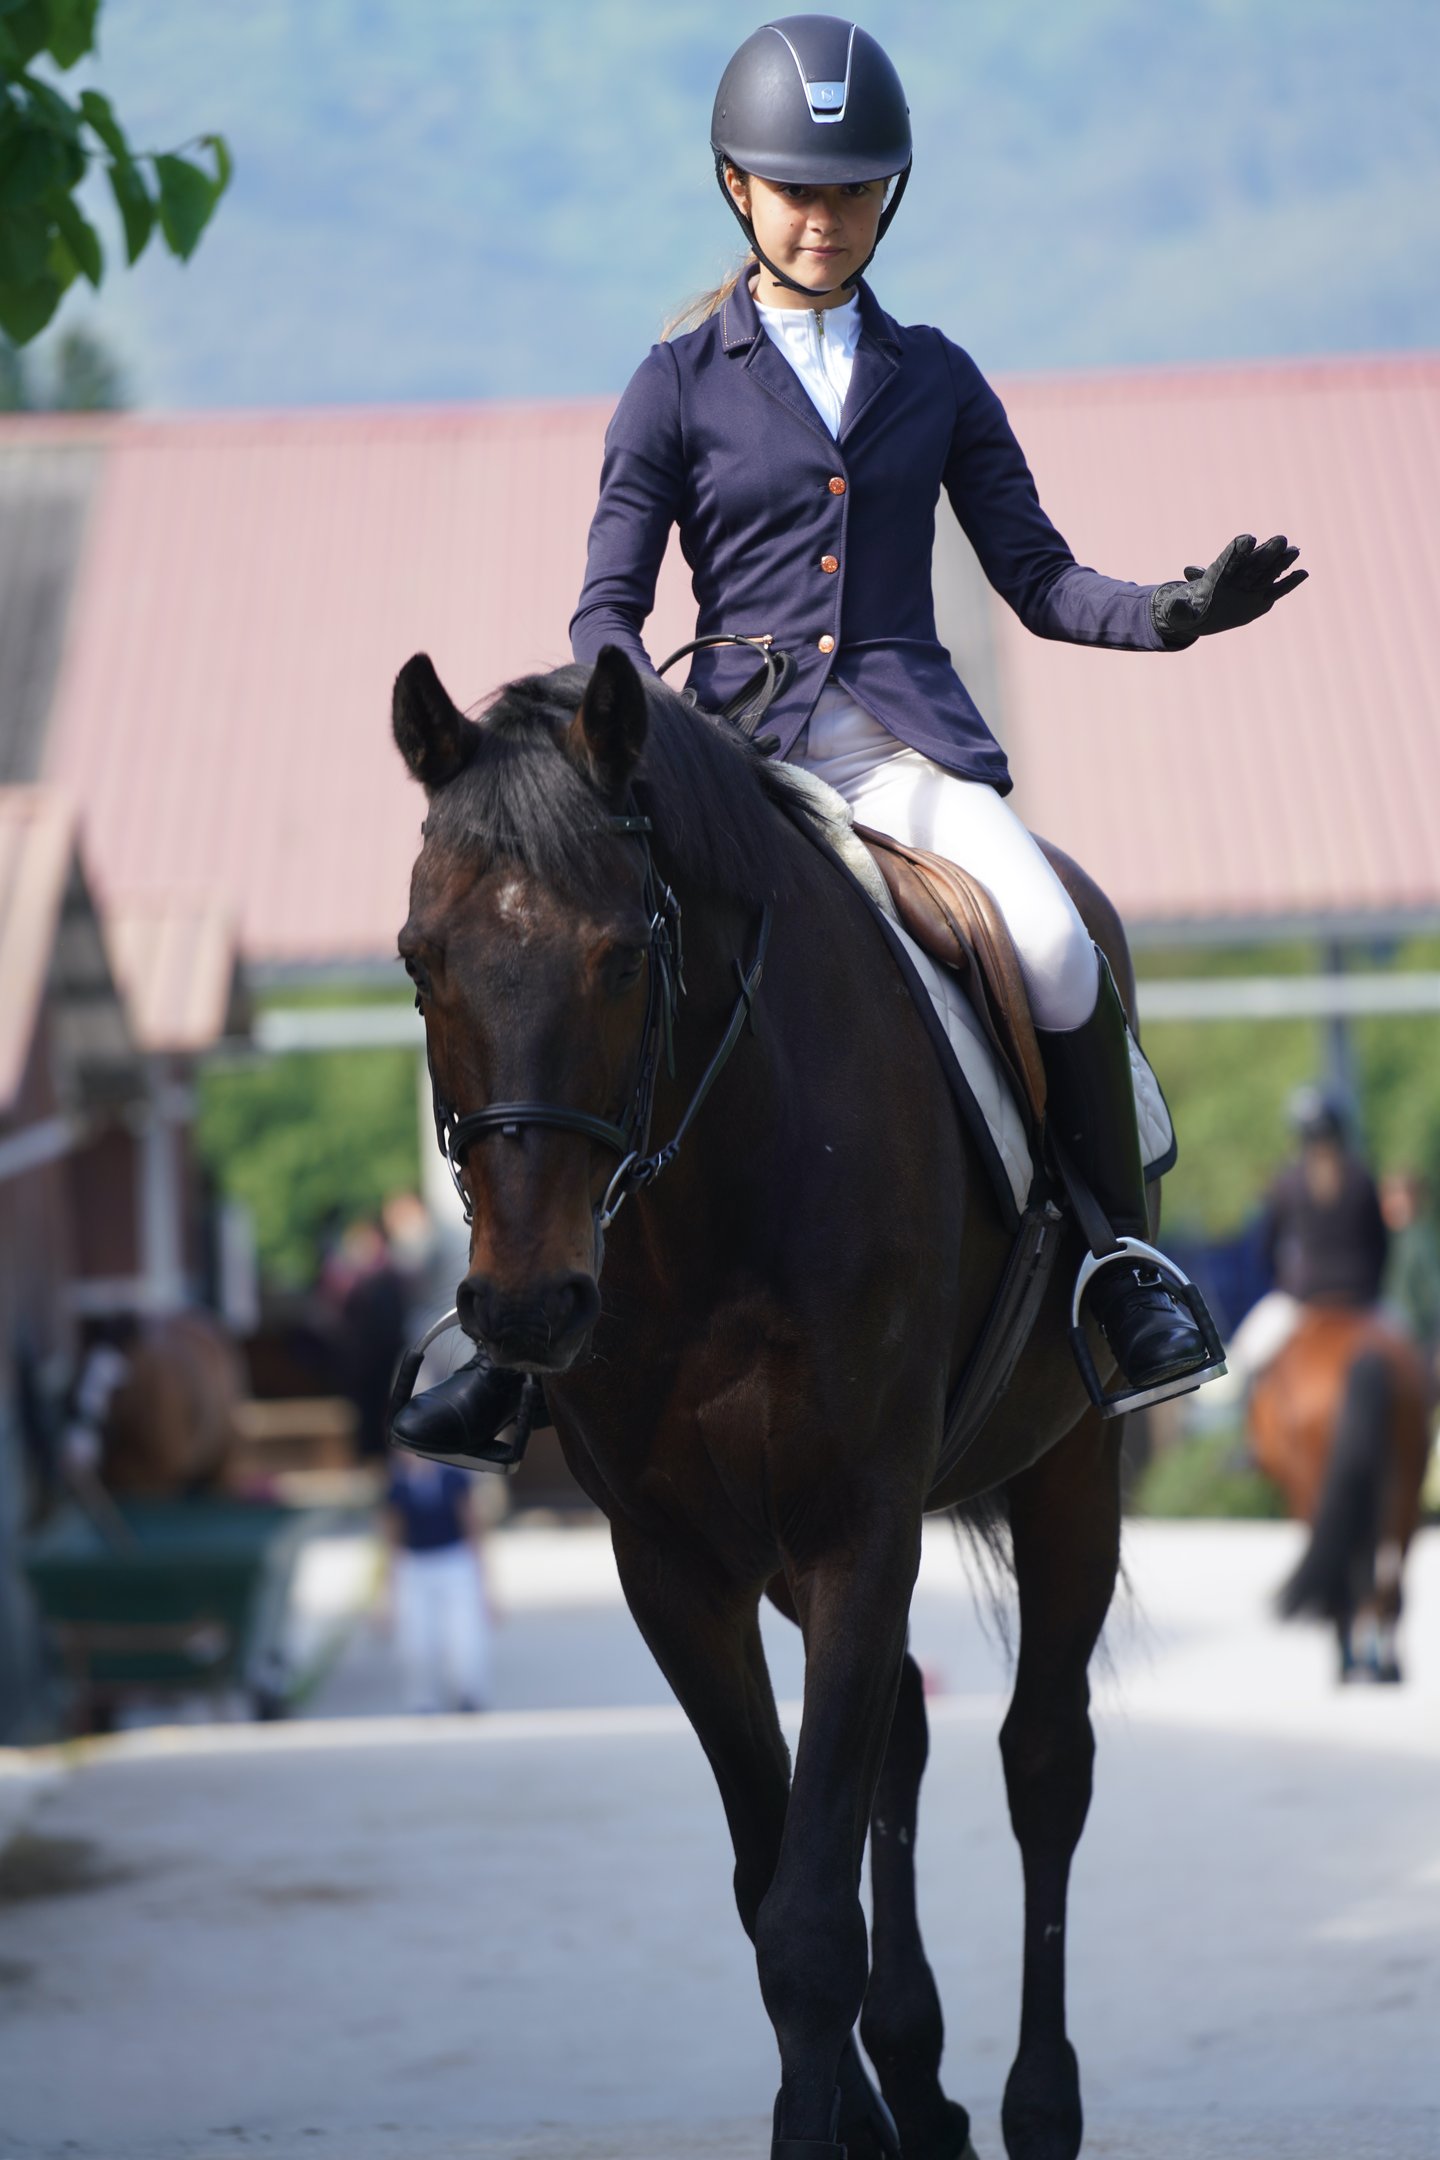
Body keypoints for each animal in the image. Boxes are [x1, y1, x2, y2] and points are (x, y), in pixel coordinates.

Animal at [393, 642, 1155, 2160]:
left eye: (625, 956)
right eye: (419, 962)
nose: (524, 1310)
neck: (709, 1195)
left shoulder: (857, 1525)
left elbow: (806, 1918)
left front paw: (836, 2117)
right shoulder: (678, 1566)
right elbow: (775, 1878)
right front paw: (860, 2108)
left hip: (1064, 1474)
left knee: (1044, 1760)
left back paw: (1036, 2105)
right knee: (899, 1747)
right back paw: (919, 2081)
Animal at [1249, 1306, 1430, 1682]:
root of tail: (1365, 1354)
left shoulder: (1302, 1496)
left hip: (1321, 1491)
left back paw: (1351, 1661)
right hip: (1406, 1491)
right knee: (1389, 1581)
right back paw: (1386, 1664)